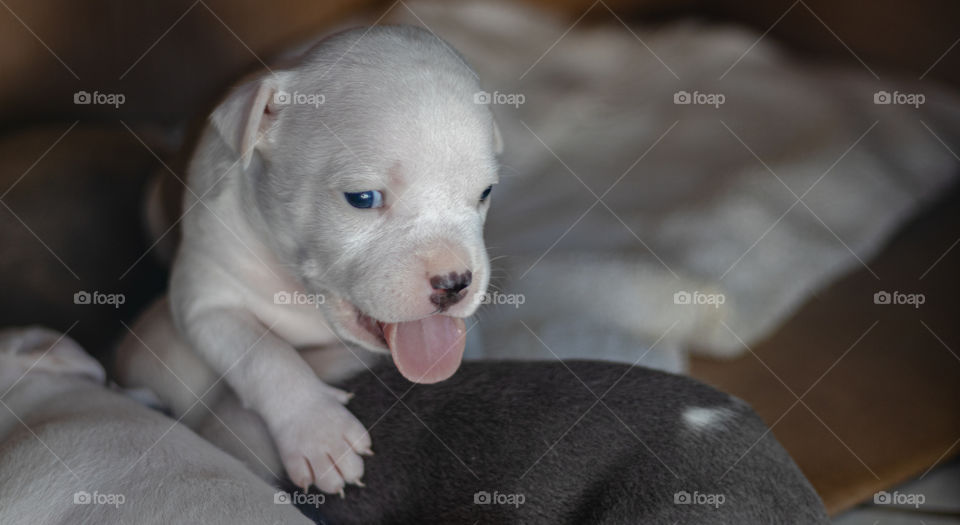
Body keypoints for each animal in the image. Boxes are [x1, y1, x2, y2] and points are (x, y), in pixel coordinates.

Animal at [117, 26, 502, 496]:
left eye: (485, 193)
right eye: (362, 198)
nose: (454, 283)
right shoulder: (207, 296)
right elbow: (265, 355)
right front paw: (320, 433)